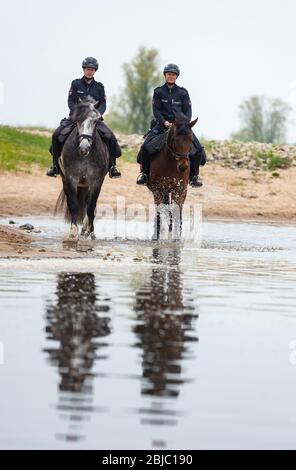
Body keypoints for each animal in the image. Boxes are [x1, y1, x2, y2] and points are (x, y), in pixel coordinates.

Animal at [56, 98, 109, 241]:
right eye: (77, 120)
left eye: (96, 121)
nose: (84, 147)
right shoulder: (71, 178)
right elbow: (73, 204)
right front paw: (73, 232)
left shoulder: (96, 181)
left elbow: (91, 207)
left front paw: (91, 232)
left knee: (88, 204)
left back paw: (86, 229)